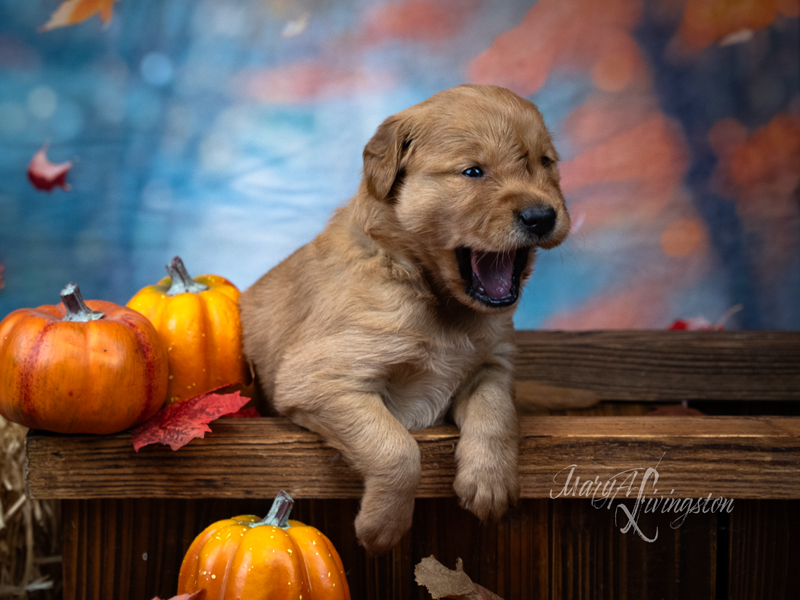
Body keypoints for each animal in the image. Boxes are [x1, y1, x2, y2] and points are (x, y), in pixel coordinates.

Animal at [238, 84, 568, 552]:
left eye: (546, 164)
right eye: (473, 171)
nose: (542, 216)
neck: (437, 300)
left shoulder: (492, 364)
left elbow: (497, 411)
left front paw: (489, 483)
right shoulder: (318, 378)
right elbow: (396, 447)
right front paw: (383, 527)